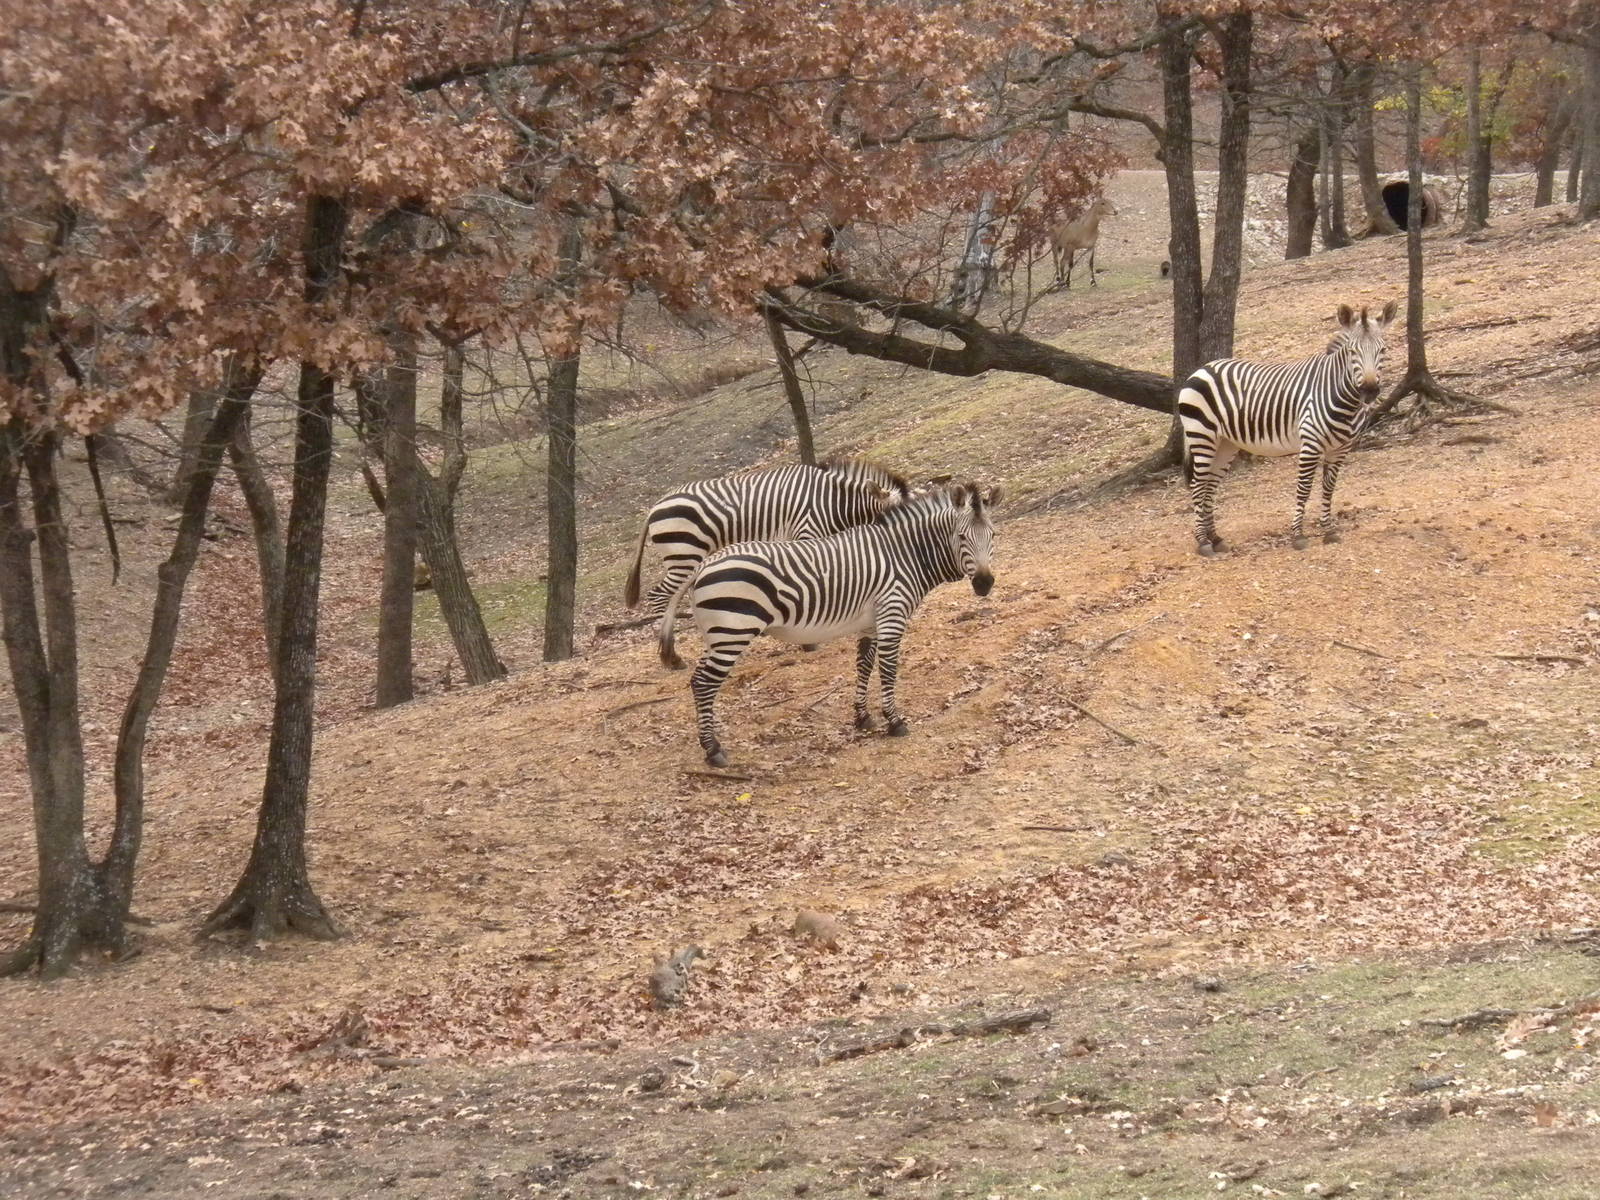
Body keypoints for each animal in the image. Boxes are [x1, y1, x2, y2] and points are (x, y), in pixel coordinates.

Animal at [658, 480, 1000, 767]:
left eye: (994, 535)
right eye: (961, 537)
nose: (984, 584)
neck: (905, 554)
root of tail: (703, 565)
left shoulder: (871, 622)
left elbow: (864, 665)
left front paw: (862, 717)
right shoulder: (892, 614)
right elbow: (888, 670)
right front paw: (895, 721)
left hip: (718, 635)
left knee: (701, 682)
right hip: (732, 632)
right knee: (704, 683)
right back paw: (713, 750)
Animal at [1178, 301, 1398, 556]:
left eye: (1383, 350)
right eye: (1353, 352)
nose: (1370, 391)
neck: (1343, 398)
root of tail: (1202, 368)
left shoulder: (1340, 448)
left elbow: (1328, 488)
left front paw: (1328, 531)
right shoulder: (1311, 444)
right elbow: (1304, 488)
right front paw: (1298, 536)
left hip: (1225, 443)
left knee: (1210, 486)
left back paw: (1216, 538)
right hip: (1202, 435)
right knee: (1198, 485)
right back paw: (1202, 541)